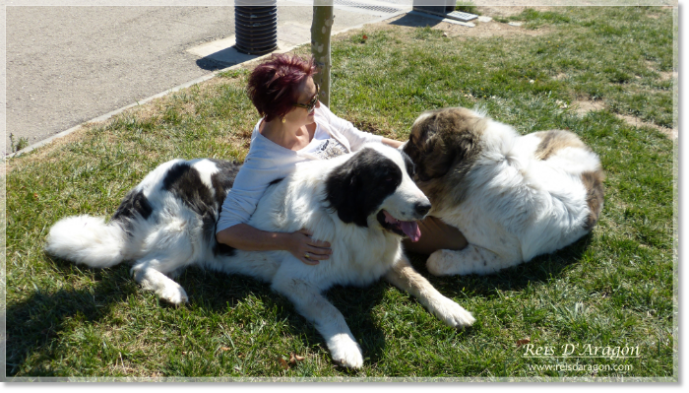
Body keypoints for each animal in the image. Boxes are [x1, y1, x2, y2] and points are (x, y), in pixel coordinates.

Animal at [43, 143, 472, 368]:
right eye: (387, 180)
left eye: (412, 174)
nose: (425, 206)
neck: (349, 218)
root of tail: (139, 191)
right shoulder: (295, 280)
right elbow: (331, 310)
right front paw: (347, 347)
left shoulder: (387, 262)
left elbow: (421, 281)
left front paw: (452, 309)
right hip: (190, 231)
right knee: (141, 266)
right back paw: (171, 291)